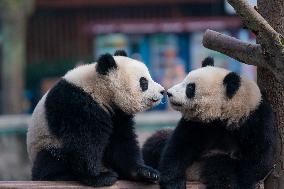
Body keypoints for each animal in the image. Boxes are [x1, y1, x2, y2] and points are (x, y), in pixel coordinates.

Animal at [27, 49, 164, 186]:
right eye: (144, 82)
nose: (162, 91)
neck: (100, 91)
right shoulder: (76, 104)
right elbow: (85, 142)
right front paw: (99, 177)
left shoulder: (117, 115)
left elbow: (121, 143)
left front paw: (147, 173)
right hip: (47, 142)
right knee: (51, 159)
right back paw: (60, 176)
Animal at [142, 57, 276, 189]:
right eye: (185, 80)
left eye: (190, 88)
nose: (169, 93)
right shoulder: (199, 123)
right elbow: (180, 145)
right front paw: (173, 182)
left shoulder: (254, 122)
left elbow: (257, 159)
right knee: (157, 141)